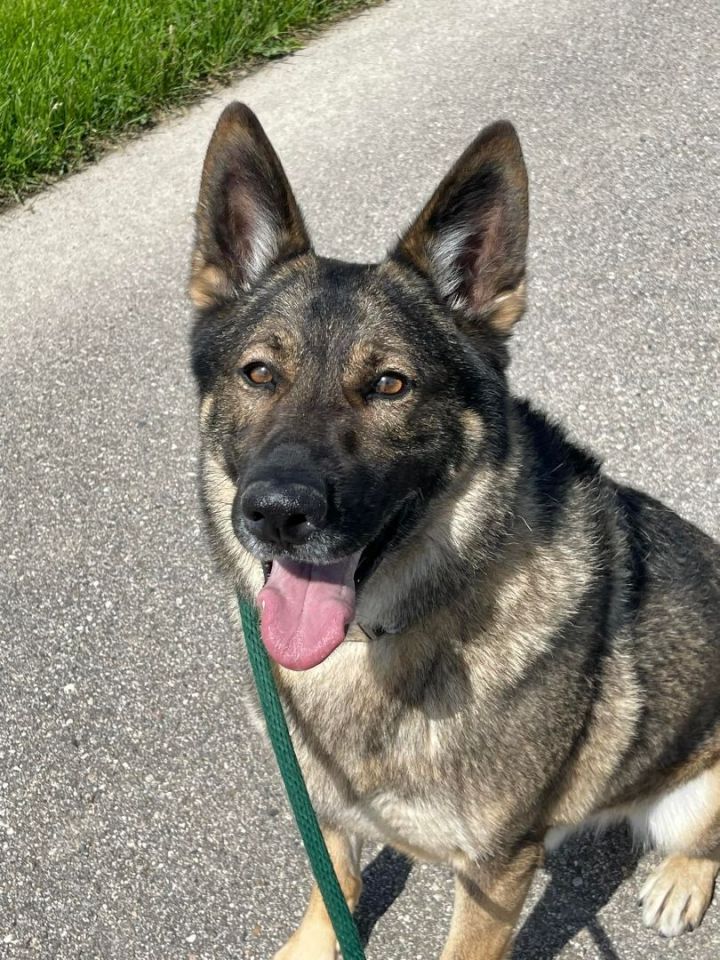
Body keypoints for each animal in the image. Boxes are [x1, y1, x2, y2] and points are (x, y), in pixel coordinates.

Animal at [187, 101, 720, 956]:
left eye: (389, 385)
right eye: (259, 374)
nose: (275, 513)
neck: (376, 641)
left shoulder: (497, 871)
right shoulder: (325, 805)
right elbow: (334, 881)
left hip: (690, 793)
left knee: (701, 837)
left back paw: (680, 879)